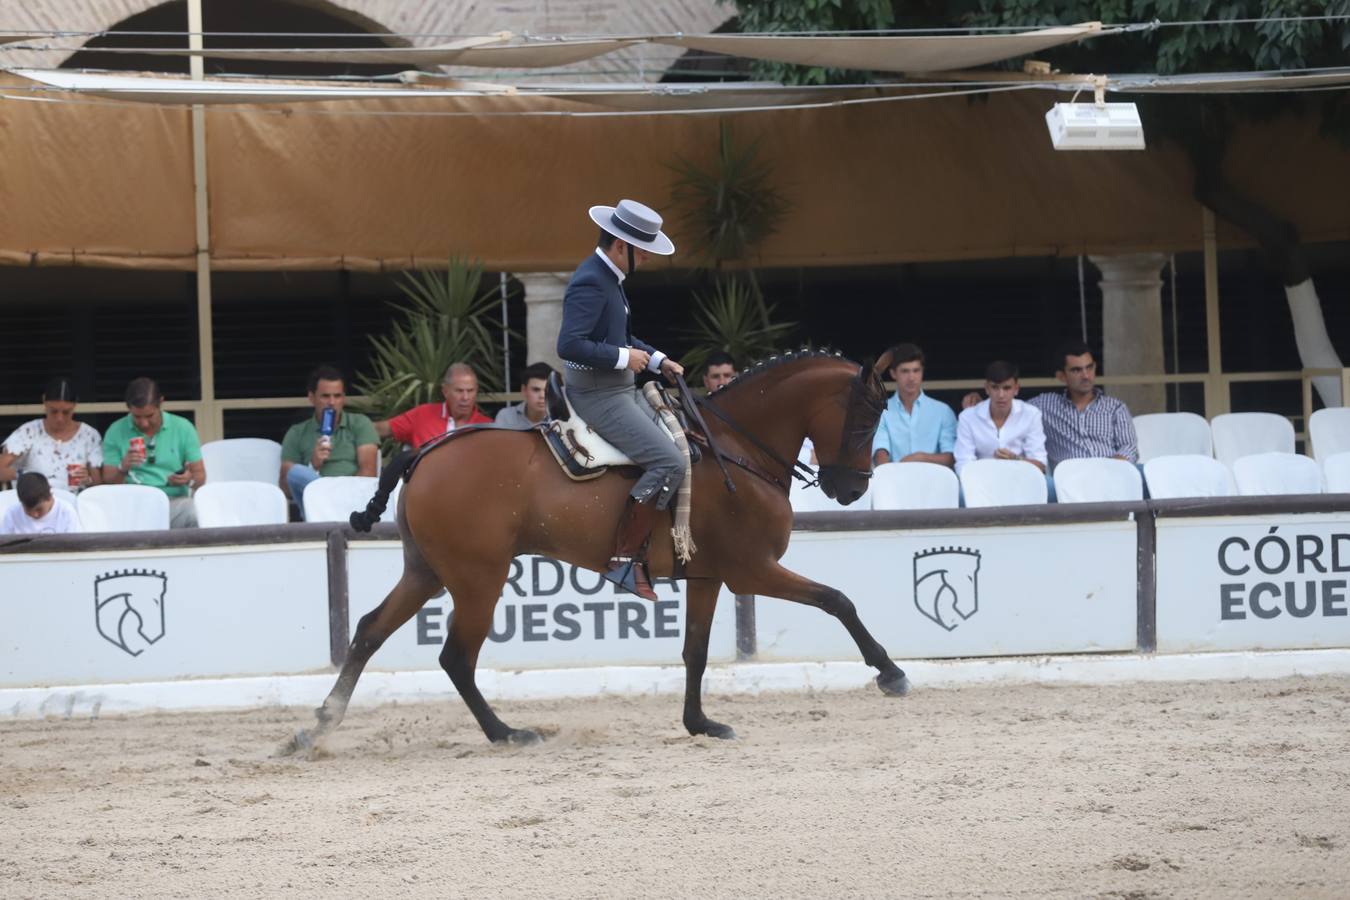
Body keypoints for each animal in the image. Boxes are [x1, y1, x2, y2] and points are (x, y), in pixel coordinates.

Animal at [290, 348, 912, 750]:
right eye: (866, 416)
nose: (851, 489)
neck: (735, 448)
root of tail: (427, 452)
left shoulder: (709, 575)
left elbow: (695, 651)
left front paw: (700, 724)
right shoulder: (752, 570)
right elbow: (837, 600)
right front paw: (889, 672)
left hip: (427, 571)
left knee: (369, 630)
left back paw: (316, 727)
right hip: (477, 578)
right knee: (455, 657)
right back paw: (506, 733)